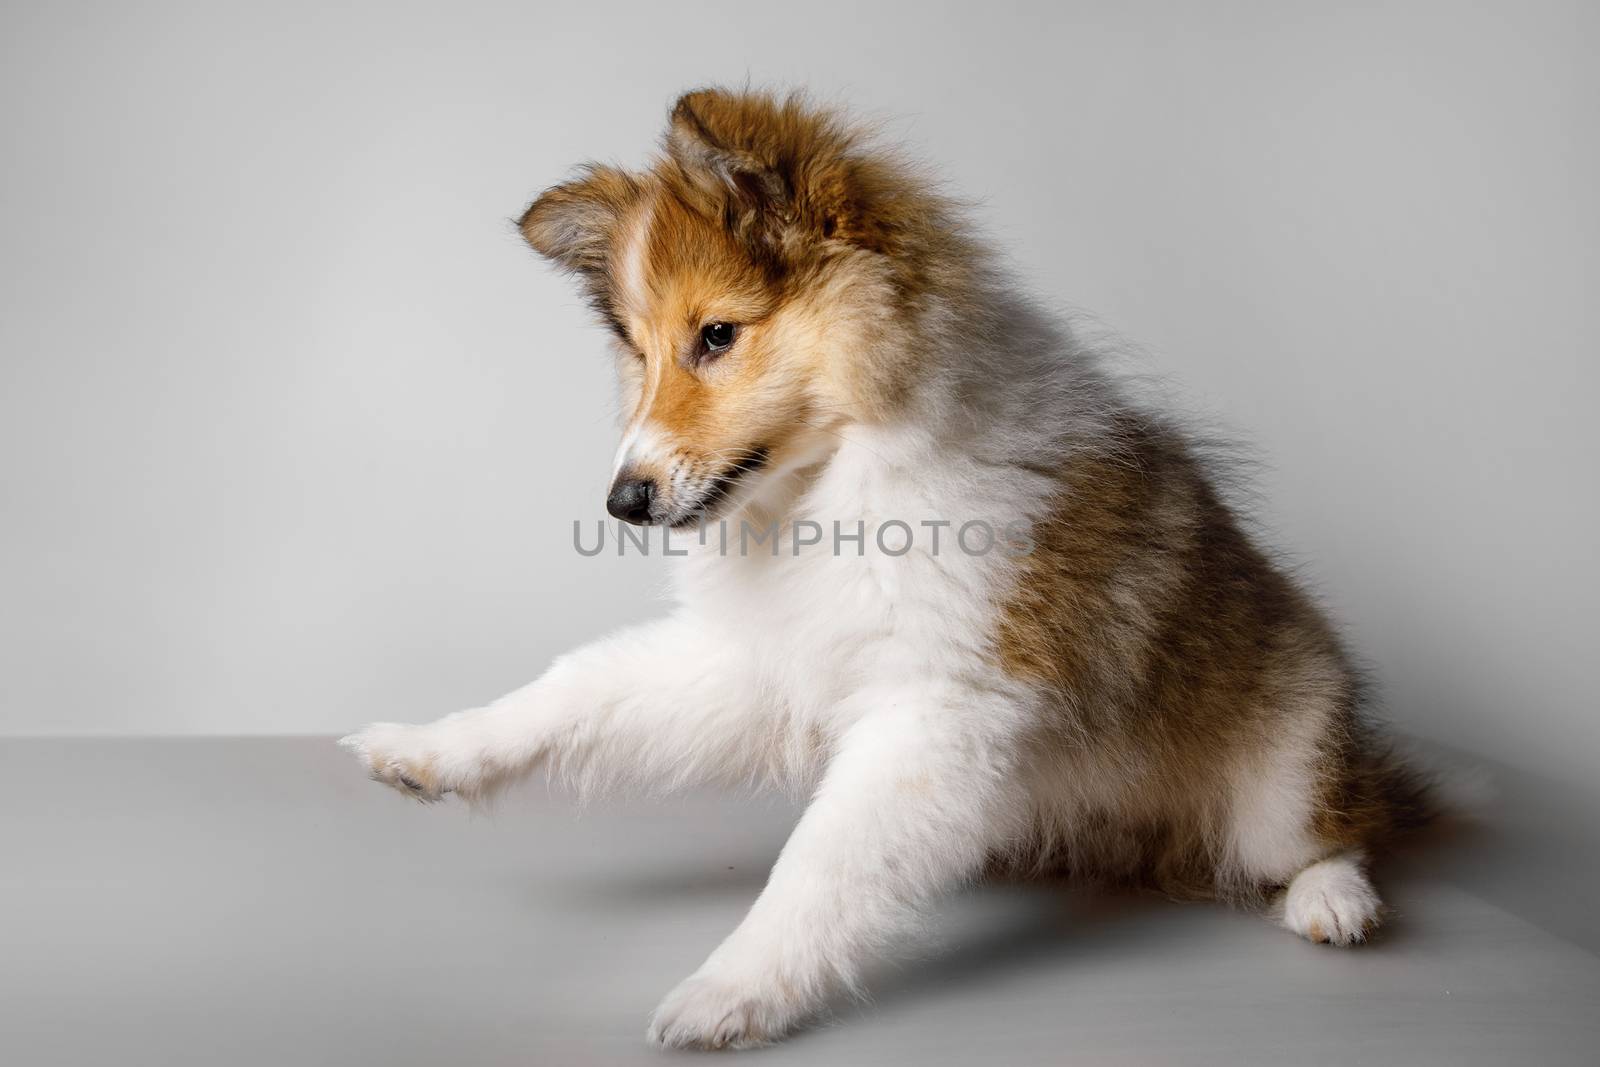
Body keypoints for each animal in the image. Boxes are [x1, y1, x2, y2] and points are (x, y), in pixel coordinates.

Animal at [340, 89, 1440, 1049]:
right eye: (640, 353)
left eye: (717, 334)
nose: (624, 501)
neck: (835, 480)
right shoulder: (761, 659)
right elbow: (579, 687)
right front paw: (426, 751)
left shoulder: (941, 704)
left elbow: (820, 861)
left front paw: (728, 992)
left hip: (1283, 767)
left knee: (1339, 828)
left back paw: (1335, 900)